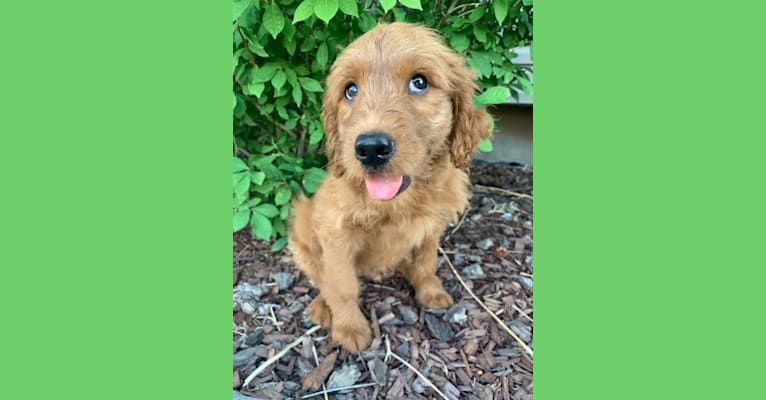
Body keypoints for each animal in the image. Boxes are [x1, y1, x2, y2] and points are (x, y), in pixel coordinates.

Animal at [288, 23, 492, 352]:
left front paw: (430, 292)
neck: (399, 201)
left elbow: (425, 262)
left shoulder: (431, 226)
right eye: (350, 90)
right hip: (303, 231)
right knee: (322, 277)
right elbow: (341, 284)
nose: (370, 148)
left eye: (419, 82)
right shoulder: (336, 233)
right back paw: (322, 307)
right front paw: (349, 328)